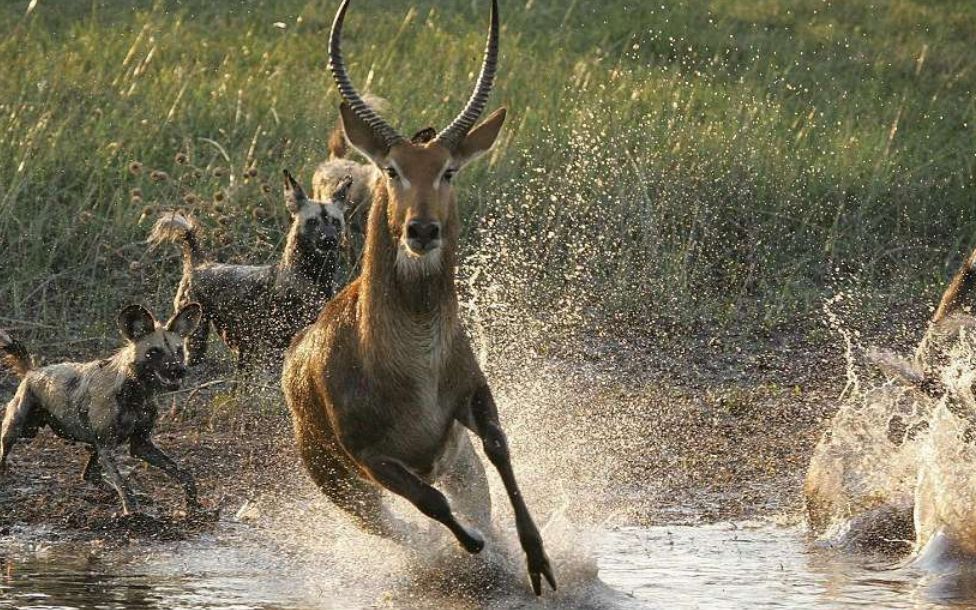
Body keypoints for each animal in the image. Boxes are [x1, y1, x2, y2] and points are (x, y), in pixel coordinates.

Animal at [0, 302, 202, 512]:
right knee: (4, 456)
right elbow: (123, 485)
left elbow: (183, 474)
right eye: (154, 352)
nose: (179, 370)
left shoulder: (141, 445)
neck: (136, 392)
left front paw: (192, 504)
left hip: (89, 445)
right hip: (16, 430)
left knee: (90, 474)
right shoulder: (107, 447)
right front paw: (133, 514)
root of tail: (32, 372)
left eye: (179, 351)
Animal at [149, 171, 350, 370]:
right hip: (196, 337)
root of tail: (199, 264)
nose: (329, 239)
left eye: (335, 222)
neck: (311, 277)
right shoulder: (275, 347)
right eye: (312, 222)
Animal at [282, 0, 556, 596]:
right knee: (395, 526)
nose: (422, 229)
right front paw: (472, 550)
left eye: (448, 170)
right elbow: (429, 504)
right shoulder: (370, 458)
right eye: (392, 169)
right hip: (341, 487)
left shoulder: (471, 400)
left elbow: (501, 449)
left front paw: (537, 559)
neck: (415, 362)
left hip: (456, 463)